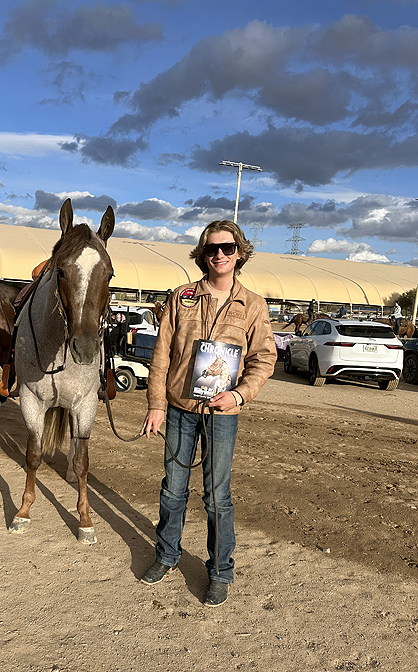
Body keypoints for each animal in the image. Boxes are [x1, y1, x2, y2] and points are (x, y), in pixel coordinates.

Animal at [9, 198, 115, 545]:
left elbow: (83, 461)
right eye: (61, 271)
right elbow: (33, 454)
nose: (85, 347)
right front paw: (23, 512)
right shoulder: (31, 400)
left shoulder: (86, 404)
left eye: (109, 275)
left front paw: (85, 520)